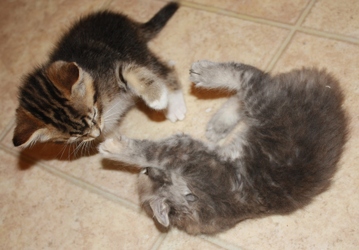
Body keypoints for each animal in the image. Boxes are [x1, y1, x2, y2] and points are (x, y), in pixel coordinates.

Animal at [12, 2, 187, 148]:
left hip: (135, 49)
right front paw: (114, 145)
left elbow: (129, 71)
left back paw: (174, 105)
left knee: (162, 70)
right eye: (76, 137)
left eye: (94, 113)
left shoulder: (112, 63)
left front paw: (158, 98)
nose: (97, 133)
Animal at [99, 60, 348, 234]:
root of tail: (331, 90)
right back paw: (219, 124)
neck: (195, 197)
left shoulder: (184, 151)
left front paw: (115, 149)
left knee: (248, 75)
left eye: (145, 173)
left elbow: (149, 150)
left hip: (264, 104)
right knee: (246, 92)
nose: (146, 170)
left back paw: (207, 73)